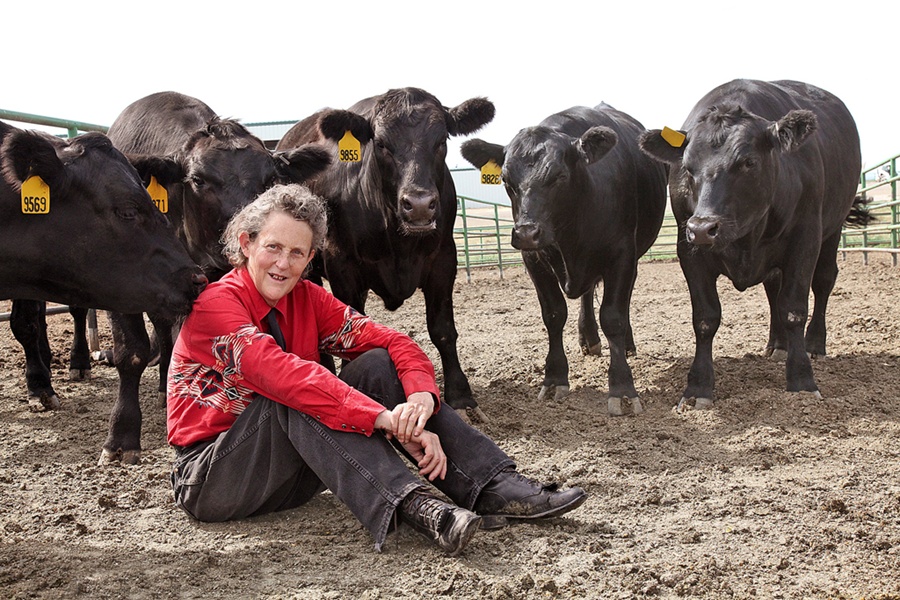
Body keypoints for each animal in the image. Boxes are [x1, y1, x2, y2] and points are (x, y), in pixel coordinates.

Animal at [278, 86, 496, 412]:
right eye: (381, 143)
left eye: (441, 140)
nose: (419, 204)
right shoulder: (342, 265)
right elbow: (349, 329)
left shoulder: (444, 259)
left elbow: (443, 329)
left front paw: (460, 394)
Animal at [464, 103, 668, 414]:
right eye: (506, 181)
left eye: (559, 176)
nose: (526, 232)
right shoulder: (533, 259)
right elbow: (554, 314)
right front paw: (554, 378)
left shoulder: (622, 255)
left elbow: (613, 317)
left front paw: (622, 388)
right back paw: (589, 339)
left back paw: (626, 344)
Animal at [640, 79, 864, 408]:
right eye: (688, 167)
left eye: (748, 162)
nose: (703, 228)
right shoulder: (689, 251)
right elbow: (705, 318)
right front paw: (697, 388)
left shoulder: (805, 239)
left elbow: (794, 309)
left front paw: (802, 380)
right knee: (774, 288)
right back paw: (778, 344)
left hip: (832, 228)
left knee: (824, 281)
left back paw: (814, 344)